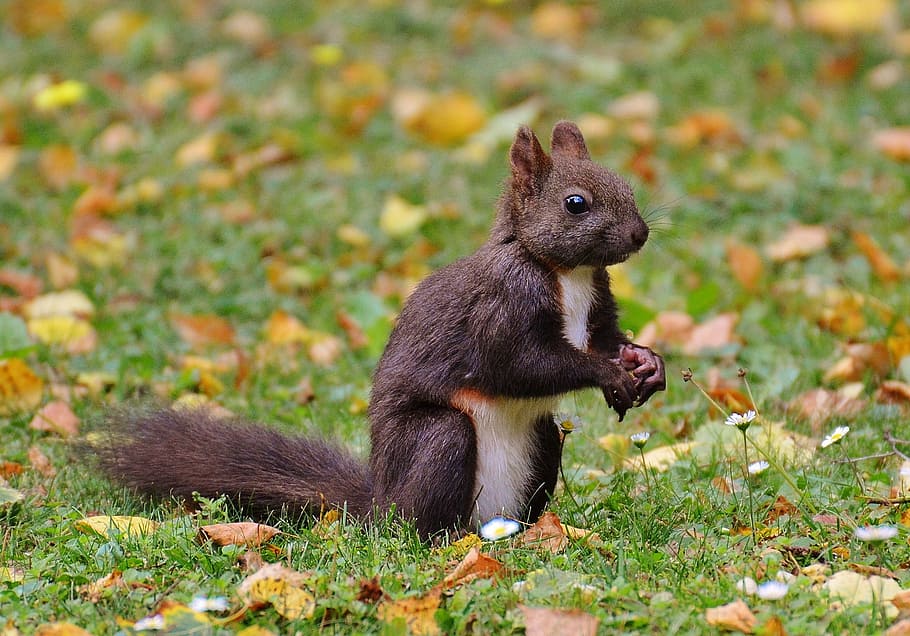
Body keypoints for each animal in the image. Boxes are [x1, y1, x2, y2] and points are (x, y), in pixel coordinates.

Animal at [97, 121, 665, 539]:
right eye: (576, 203)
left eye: (626, 186)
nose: (640, 234)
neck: (566, 274)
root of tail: (381, 505)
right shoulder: (503, 305)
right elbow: (522, 364)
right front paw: (611, 374)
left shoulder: (597, 304)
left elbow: (605, 338)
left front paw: (647, 362)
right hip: (437, 441)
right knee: (424, 514)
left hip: (542, 439)